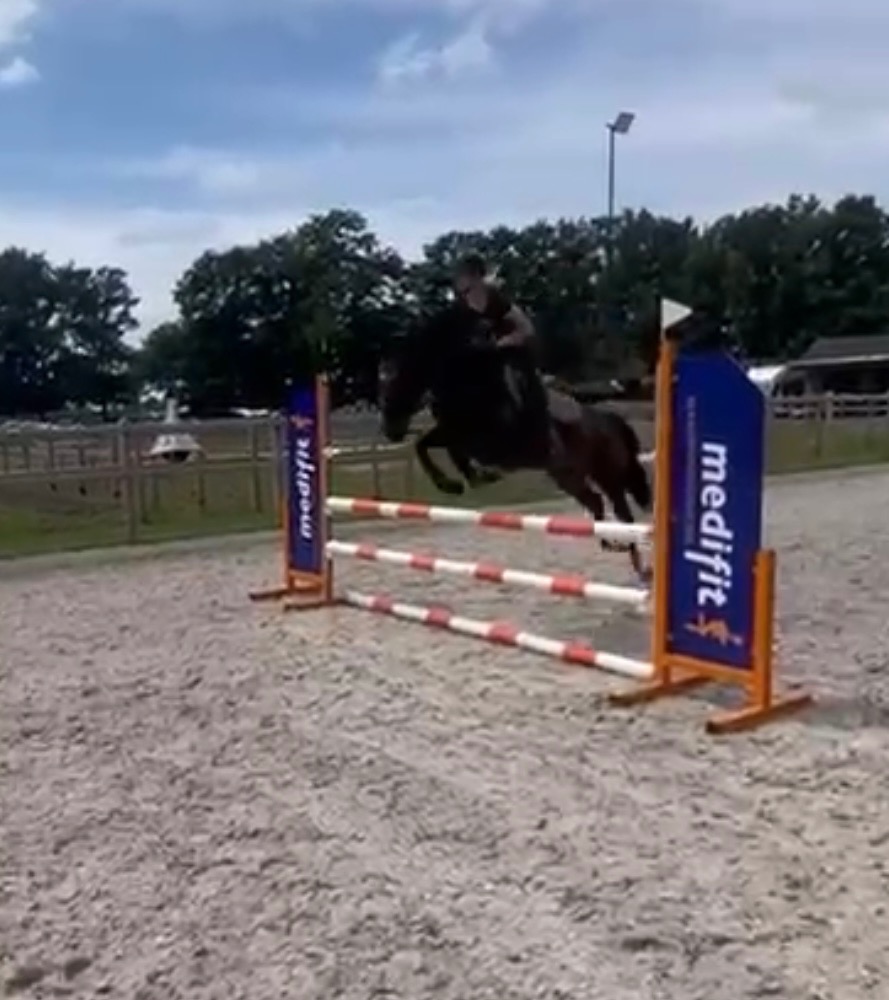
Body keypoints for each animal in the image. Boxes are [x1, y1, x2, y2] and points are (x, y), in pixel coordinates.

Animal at [378, 304, 653, 581]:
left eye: (396, 381)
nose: (390, 431)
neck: (468, 380)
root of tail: (609, 419)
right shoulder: (455, 431)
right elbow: (424, 445)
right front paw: (457, 483)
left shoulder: (486, 439)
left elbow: (452, 449)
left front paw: (471, 478)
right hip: (567, 475)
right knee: (596, 501)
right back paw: (612, 545)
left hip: (607, 474)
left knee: (623, 513)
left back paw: (640, 566)